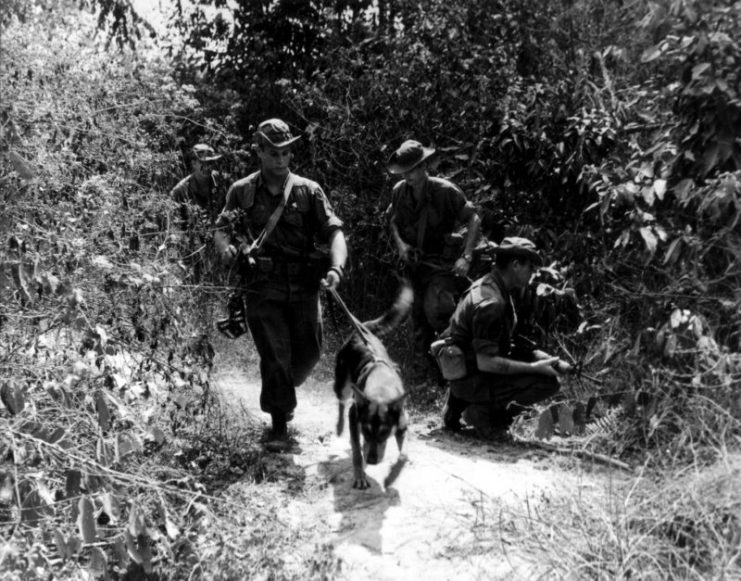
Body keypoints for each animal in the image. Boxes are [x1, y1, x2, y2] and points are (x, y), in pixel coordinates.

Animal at [334, 278, 414, 488]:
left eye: (384, 434)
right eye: (366, 430)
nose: (371, 460)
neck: (382, 389)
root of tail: (361, 329)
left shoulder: (402, 426)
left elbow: (404, 455)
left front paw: (392, 477)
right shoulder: (355, 417)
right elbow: (356, 452)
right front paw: (360, 476)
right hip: (344, 386)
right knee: (341, 402)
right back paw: (339, 426)